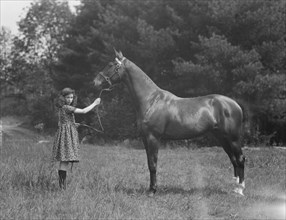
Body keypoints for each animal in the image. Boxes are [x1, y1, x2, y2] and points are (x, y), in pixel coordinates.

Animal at [94, 51, 246, 196]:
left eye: (111, 65)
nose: (95, 81)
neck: (151, 100)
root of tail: (236, 105)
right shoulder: (145, 138)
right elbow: (149, 163)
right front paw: (151, 188)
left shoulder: (153, 137)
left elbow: (153, 164)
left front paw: (152, 191)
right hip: (222, 138)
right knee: (233, 159)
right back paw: (234, 188)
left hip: (233, 138)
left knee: (240, 158)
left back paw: (240, 190)